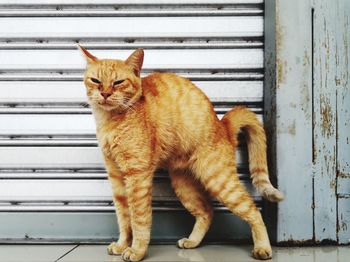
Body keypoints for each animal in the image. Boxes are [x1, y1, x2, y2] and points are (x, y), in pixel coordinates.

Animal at [78, 46, 284, 260]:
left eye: (118, 82)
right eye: (96, 80)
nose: (105, 93)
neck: (110, 121)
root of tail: (224, 125)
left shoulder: (137, 176)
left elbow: (139, 219)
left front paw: (137, 250)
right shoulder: (116, 177)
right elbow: (123, 217)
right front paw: (121, 245)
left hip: (219, 180)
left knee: (253, 211)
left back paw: (263, 248)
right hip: (183, 184)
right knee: (207, 211)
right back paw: (192, 242)